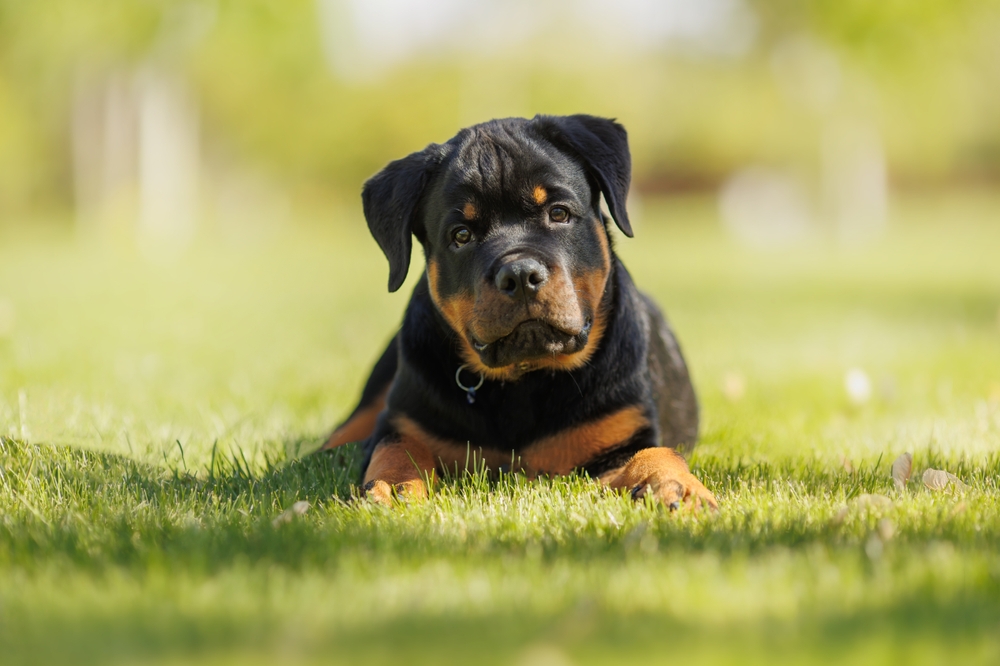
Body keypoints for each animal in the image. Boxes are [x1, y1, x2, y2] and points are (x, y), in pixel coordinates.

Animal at [324, 115, 716, 508]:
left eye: (558, 213)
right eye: (461, 235)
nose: (520, 274)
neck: (525, 379)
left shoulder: (622, 434)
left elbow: (656, 453)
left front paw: (678, 486)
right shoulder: (405, 419)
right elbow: (394, 445)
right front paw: (392, 484)